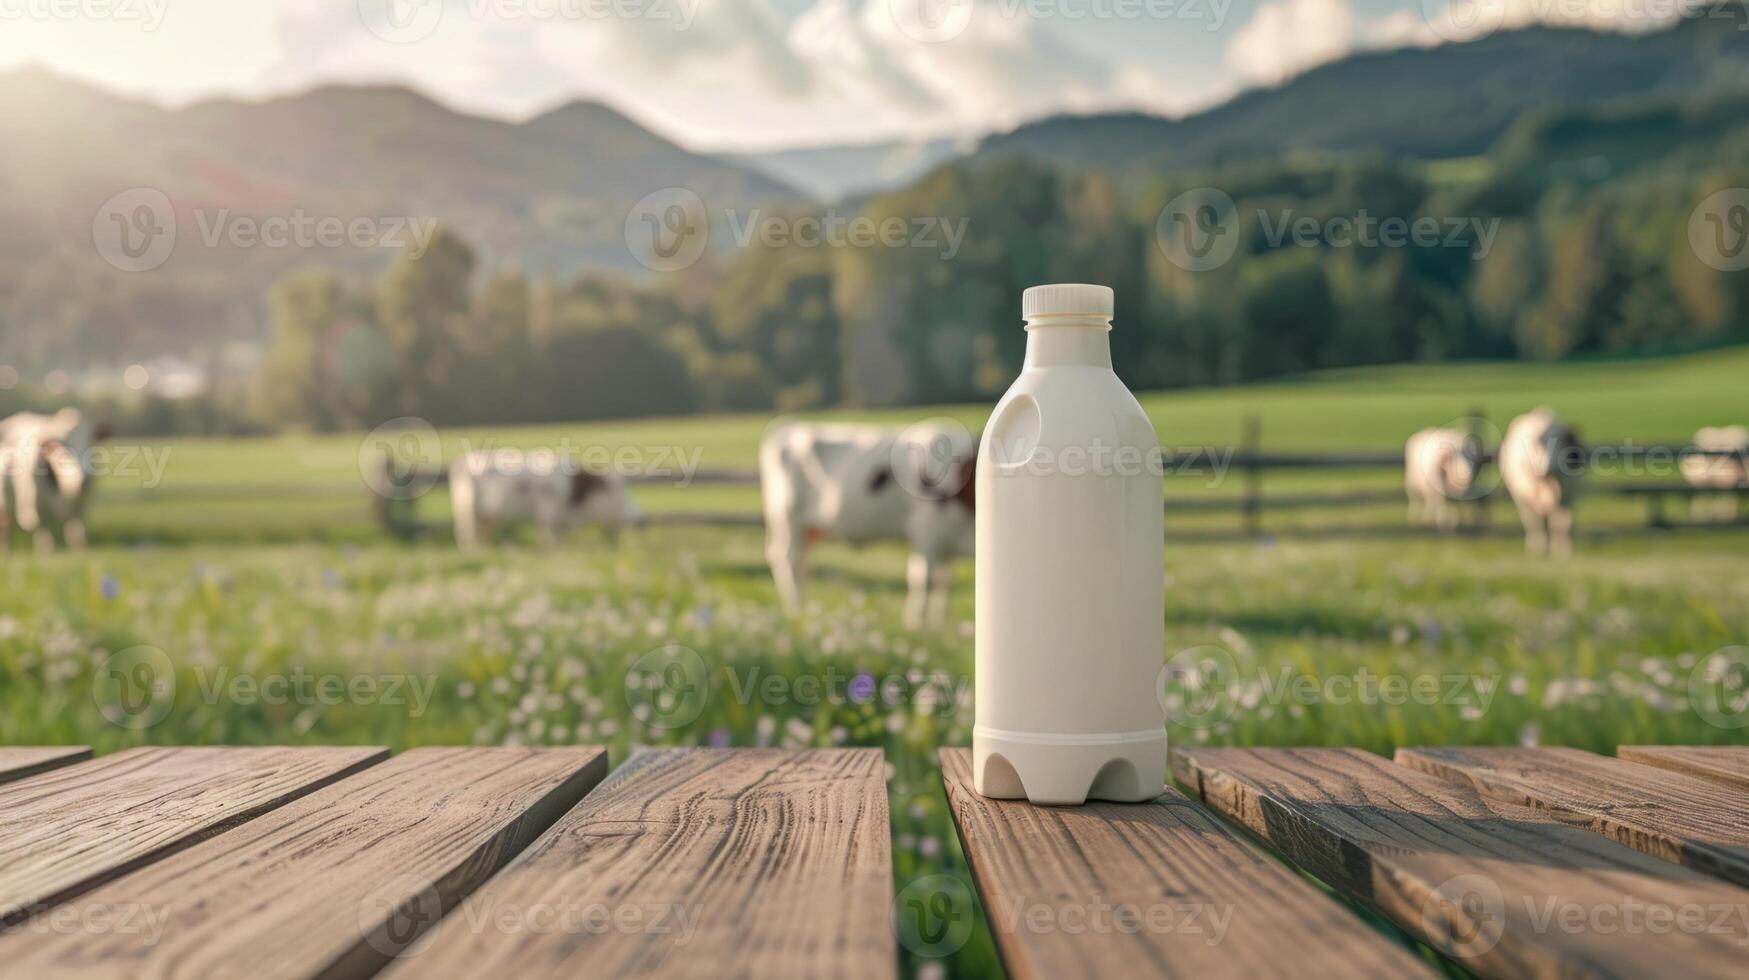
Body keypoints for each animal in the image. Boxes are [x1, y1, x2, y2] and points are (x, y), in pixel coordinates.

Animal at [451, 451, 643, 553]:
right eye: (619, 492)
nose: (640, 518)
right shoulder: (547, 509)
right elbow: (548, 532)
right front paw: (550, 549)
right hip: (465, 508)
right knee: (467, 531)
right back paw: (472, 550)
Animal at [759, 421, 979, 626]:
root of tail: (787, 427)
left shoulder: (947, 542)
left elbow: (944, 582)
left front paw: (938, 625)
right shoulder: (927, 534)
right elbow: (924, 581)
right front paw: (917, 626)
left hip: (810, 529)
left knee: (802, 562)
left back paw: (802, 607)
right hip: (787, 517)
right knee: (788, 559)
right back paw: (795, 609)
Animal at [1490, 407, 1588, 560]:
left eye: (1560, 443)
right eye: (1539, 443)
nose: (1542, 469)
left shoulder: (1570, 495)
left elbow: (1563, 522)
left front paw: (1563, 552)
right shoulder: (1529, 497)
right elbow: (1536, 522)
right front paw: (1539, 550)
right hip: (1520, 496)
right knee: (1532, 520)